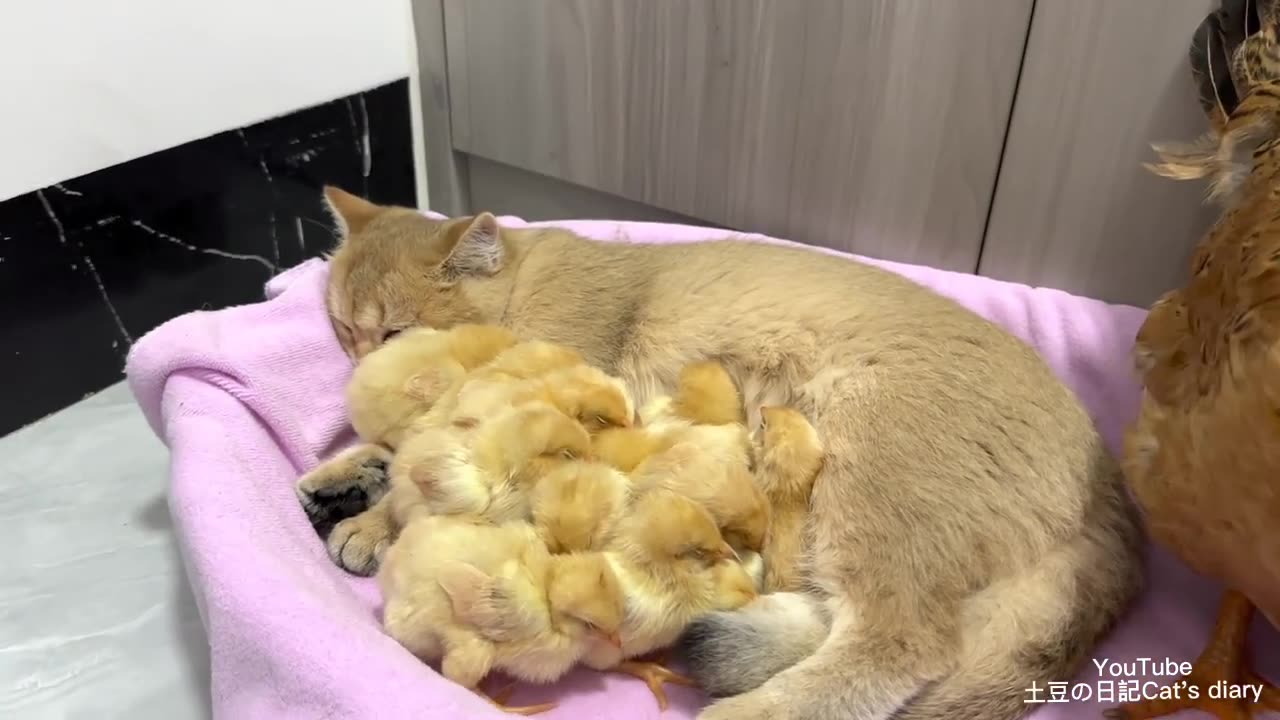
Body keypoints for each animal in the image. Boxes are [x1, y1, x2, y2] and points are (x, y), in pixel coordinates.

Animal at [307, 188, 1141, 717]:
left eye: (392, 329)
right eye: (344, 326)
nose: (353, 365)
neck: (525, 286)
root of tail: (1112, 495)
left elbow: (419, 477)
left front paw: (368, 521)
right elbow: (396, 449)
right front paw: (341, 476)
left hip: (873, 480)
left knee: (905, 643)